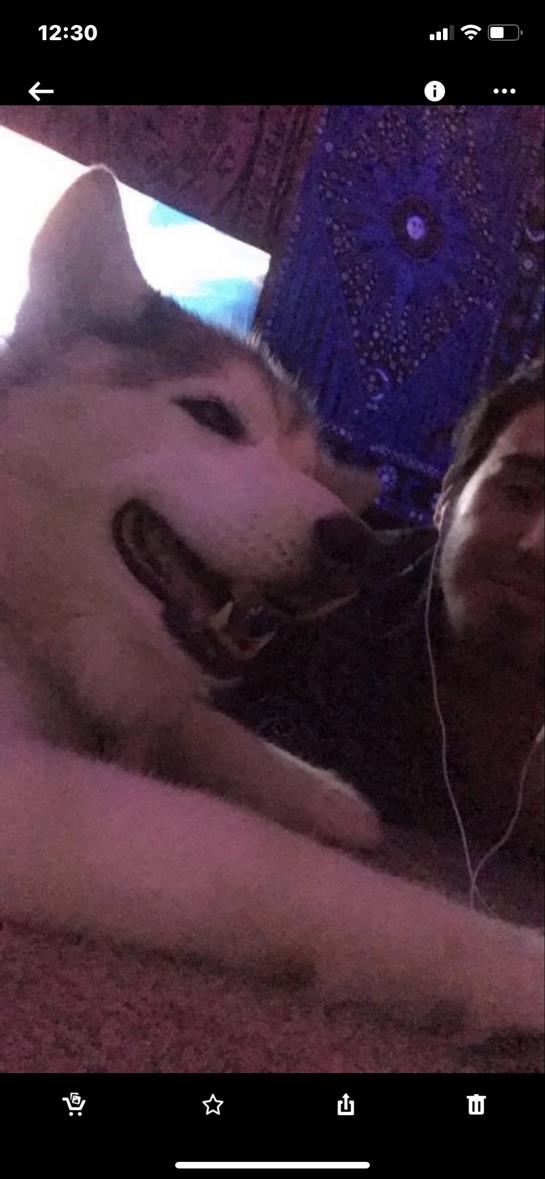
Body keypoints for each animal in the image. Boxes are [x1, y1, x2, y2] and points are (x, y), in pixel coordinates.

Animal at [0, 167, 542, 1041]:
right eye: (213, 415)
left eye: (309, 465)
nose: (358, 544)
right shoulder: (33, 798)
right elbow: (271, 860)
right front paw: (510, 957)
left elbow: (189, 716)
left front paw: (324, 792)